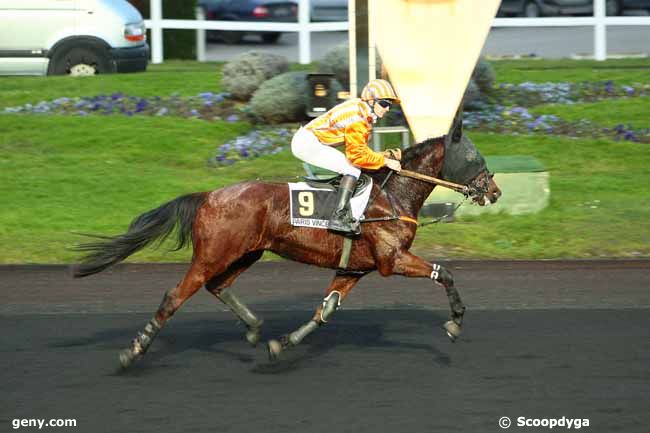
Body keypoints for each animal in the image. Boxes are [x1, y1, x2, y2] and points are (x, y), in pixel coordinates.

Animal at [74, 132, 502, 368]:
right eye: (475, 158)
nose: (495, 191)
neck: (391, 197)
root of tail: (208, 195)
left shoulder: (353, 269)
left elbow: (324, 310)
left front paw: (283, 343)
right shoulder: (391, 260)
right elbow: (444, 273)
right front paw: (454, 322)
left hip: (246, 253)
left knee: (218, 286)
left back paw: (253, 328)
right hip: (212, 254)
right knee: (174, 296)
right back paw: (133, 352)